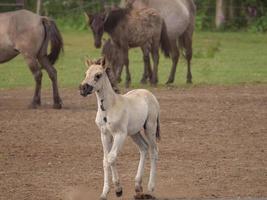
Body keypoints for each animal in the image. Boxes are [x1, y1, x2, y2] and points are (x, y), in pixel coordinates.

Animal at [79, 58, 161, 199]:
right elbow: (105, 160)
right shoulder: (105, 135)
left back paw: (150, 188)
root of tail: (149, 93)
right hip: (134, 132)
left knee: (154, 151)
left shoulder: (120, 134)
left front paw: (118, 189)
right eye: (85, 73)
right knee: (144, 148)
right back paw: (138, 186)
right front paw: (105, 193)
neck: (109, 107)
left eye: (98, 75)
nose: (83, 89)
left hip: (150, 128)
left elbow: (112, 157)